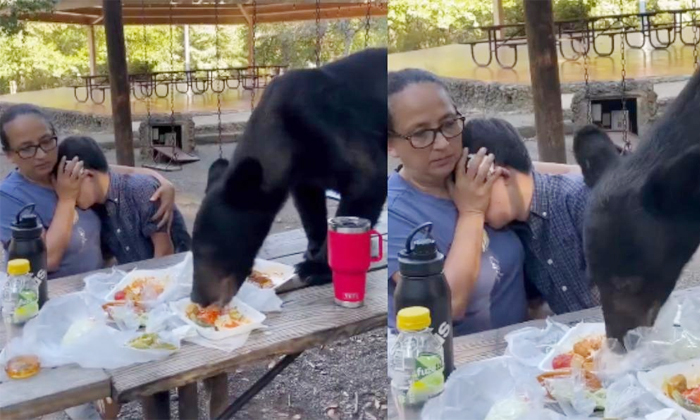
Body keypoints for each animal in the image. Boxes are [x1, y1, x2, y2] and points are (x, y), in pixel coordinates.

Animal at [190, 47, 388, 306]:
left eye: (210, 250)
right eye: (193, 249)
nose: (197, 298)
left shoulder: (331, 128)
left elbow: (368, 179)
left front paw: (315, 268)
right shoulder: (306, 172)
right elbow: (309, 205)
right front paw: (312, 249)